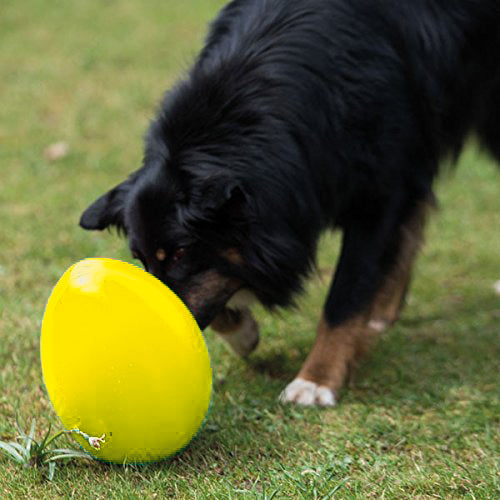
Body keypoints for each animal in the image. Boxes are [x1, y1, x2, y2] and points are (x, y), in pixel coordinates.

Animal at [79, 0, 500, 406]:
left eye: (181, 252)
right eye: (140, 259)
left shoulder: (381, 192)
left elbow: (346, 294)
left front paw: (316, 381)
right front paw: (243, 331)